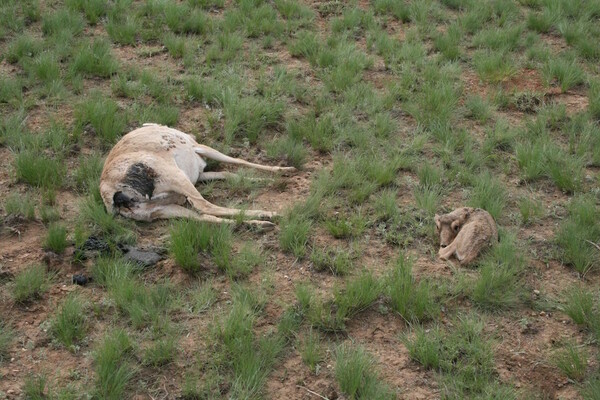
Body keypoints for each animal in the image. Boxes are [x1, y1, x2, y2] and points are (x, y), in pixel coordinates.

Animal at [101, 123, 296, 228]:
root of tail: (113, 197)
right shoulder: (200, 148)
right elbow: (238, 160)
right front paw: (286, 171)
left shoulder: (200, 175)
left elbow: (227, 173)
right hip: (178, 178)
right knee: (205, 206)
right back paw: (270, 215)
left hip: (163, 209)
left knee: (203, 217)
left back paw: (262, 224)